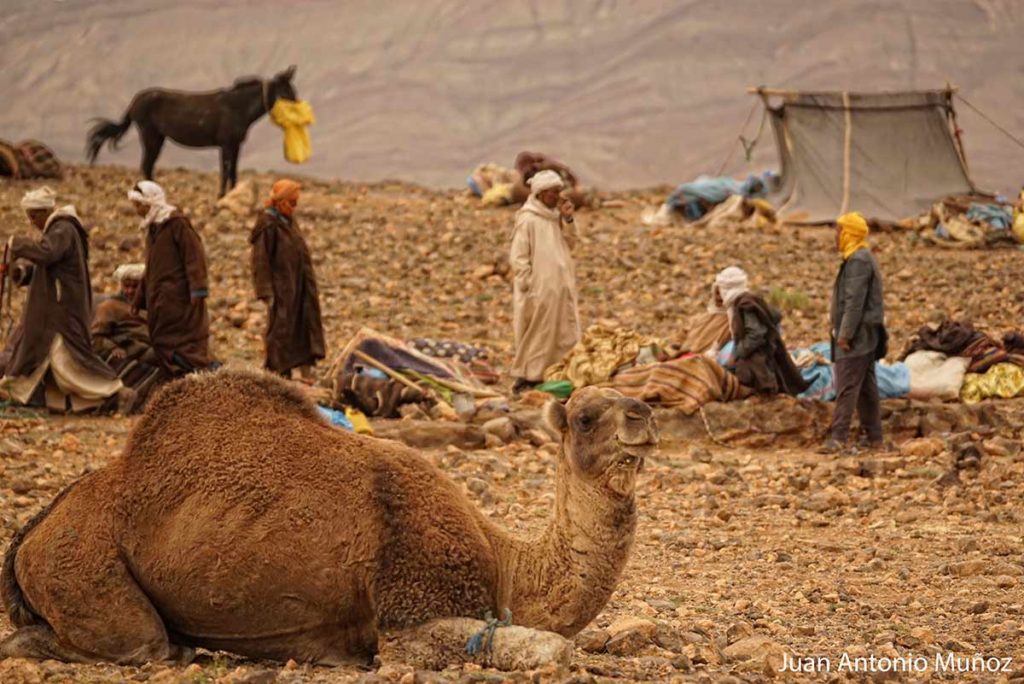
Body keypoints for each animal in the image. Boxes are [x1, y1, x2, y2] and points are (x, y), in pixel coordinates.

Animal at [0, 368, 655, 667]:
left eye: (630, 399)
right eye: (585, 417)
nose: (644, 413)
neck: (505, 563)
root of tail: (34, 529)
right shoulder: (411, 607)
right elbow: (546, 646)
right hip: (84, 563)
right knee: (135, 641)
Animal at [86, 66, 299, 194]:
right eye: (287, 91)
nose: (299, 108)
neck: (239, 107)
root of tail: (133, 103)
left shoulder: (236, 145)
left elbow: (234, 172)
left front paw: (232, 195)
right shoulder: (226, 145)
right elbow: (225, 171)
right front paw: (221, 197)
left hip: (158, 137)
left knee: (149, 164)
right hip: (150, 135)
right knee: (146, 165)